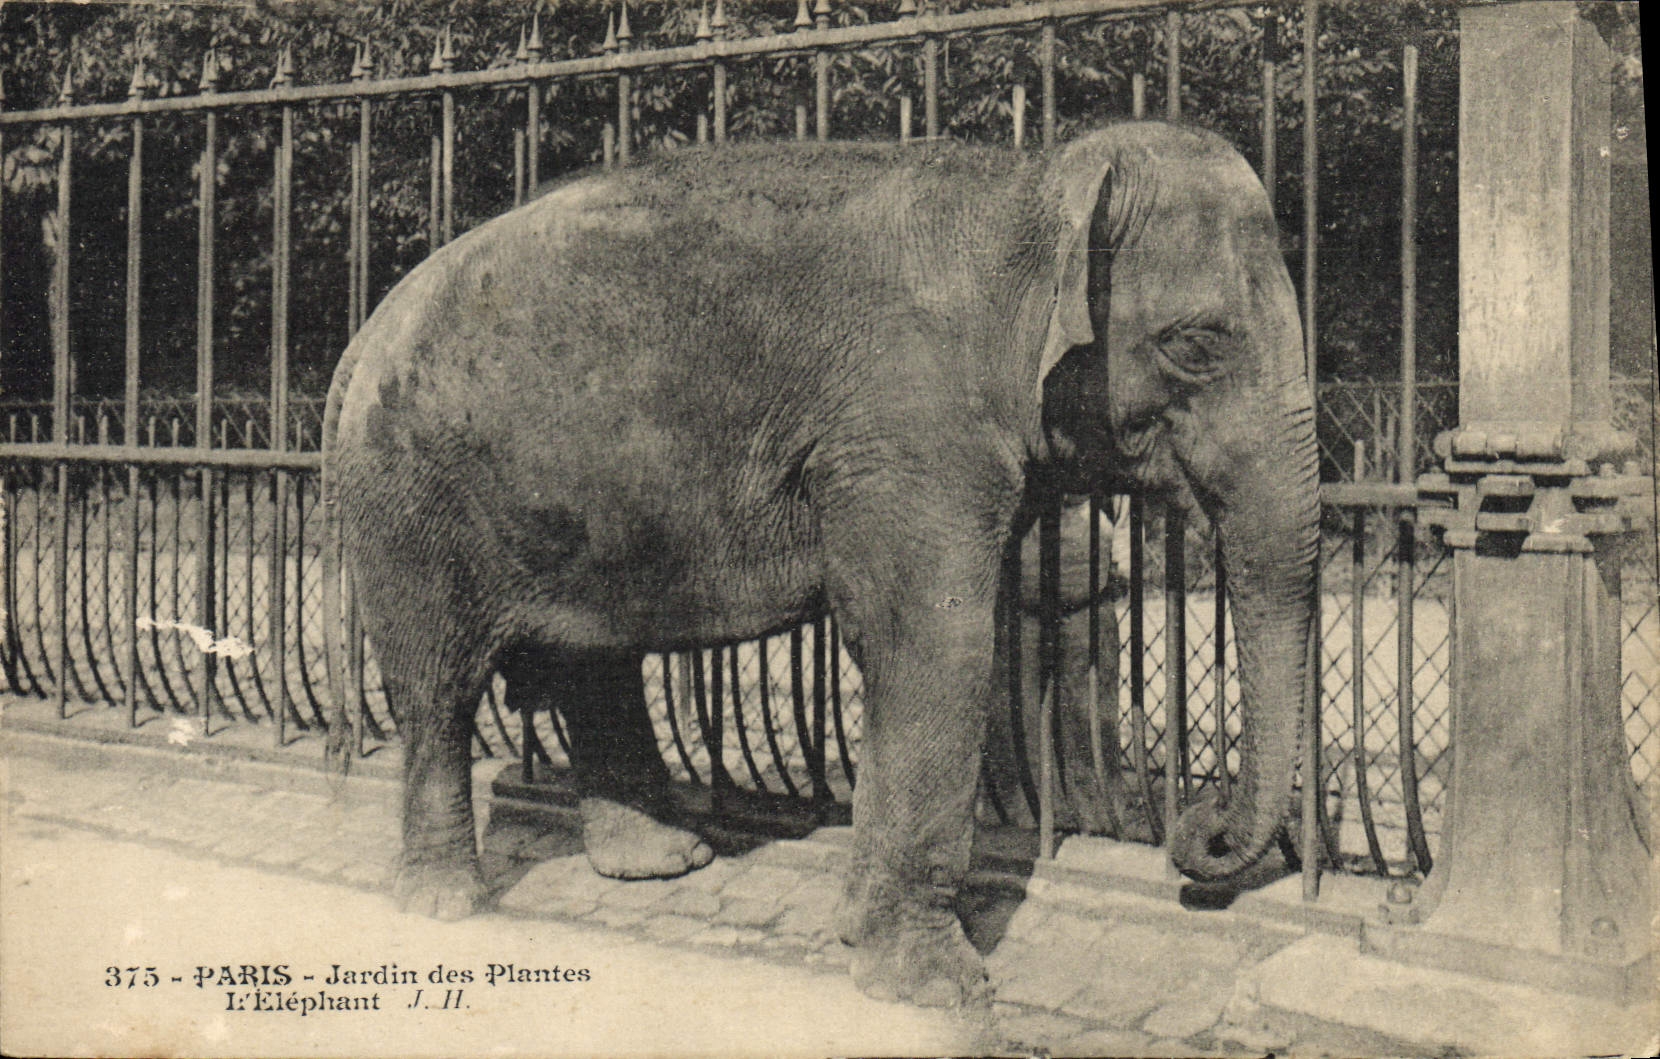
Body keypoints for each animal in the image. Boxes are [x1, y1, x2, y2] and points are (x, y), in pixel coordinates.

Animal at [321, 120, 1320, 1007]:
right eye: (1197, 344)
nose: (1201, 839)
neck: (1029, 192)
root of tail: (364, 333)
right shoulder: (905, 427)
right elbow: (933, 642)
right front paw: (934, 986)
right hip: (411, 498)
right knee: (439, 685)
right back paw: (448, 902)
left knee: (594, 662)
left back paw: (662, 863)